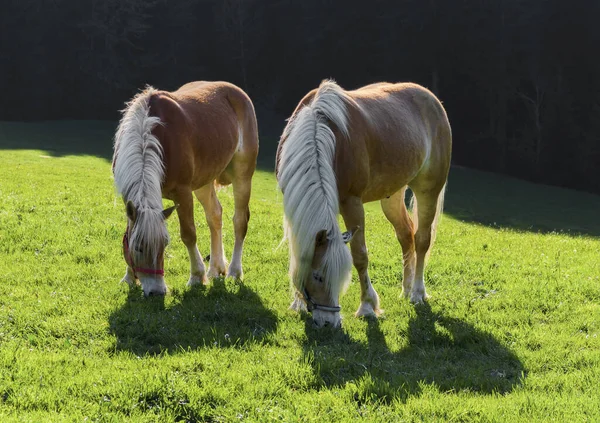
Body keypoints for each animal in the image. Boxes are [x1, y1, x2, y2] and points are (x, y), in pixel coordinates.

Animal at [112, 81, 258, 296]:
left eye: (164, 244)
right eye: (138, 247)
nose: (157, 292)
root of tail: (236, 91)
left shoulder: (183, 194)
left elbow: (188, 234)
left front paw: (197, 277)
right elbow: (129, 231)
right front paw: (130, 277)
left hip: (243, 175)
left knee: (240, 221)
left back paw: (233, 271)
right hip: (204, 182)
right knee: (215, 216)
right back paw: (215, 268)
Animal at [276, 81, 450, 330]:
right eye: (318, 276)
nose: (328, 322)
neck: (320, 133)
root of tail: (433, 100)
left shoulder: (352, 204)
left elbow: (360, 256)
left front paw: (367, 306)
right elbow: (297, 252)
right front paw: (298, 303)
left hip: (428, 190)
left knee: (422, 240)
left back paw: (417, 293)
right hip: (392, 196)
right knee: (406, 236)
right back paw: (406, 290)